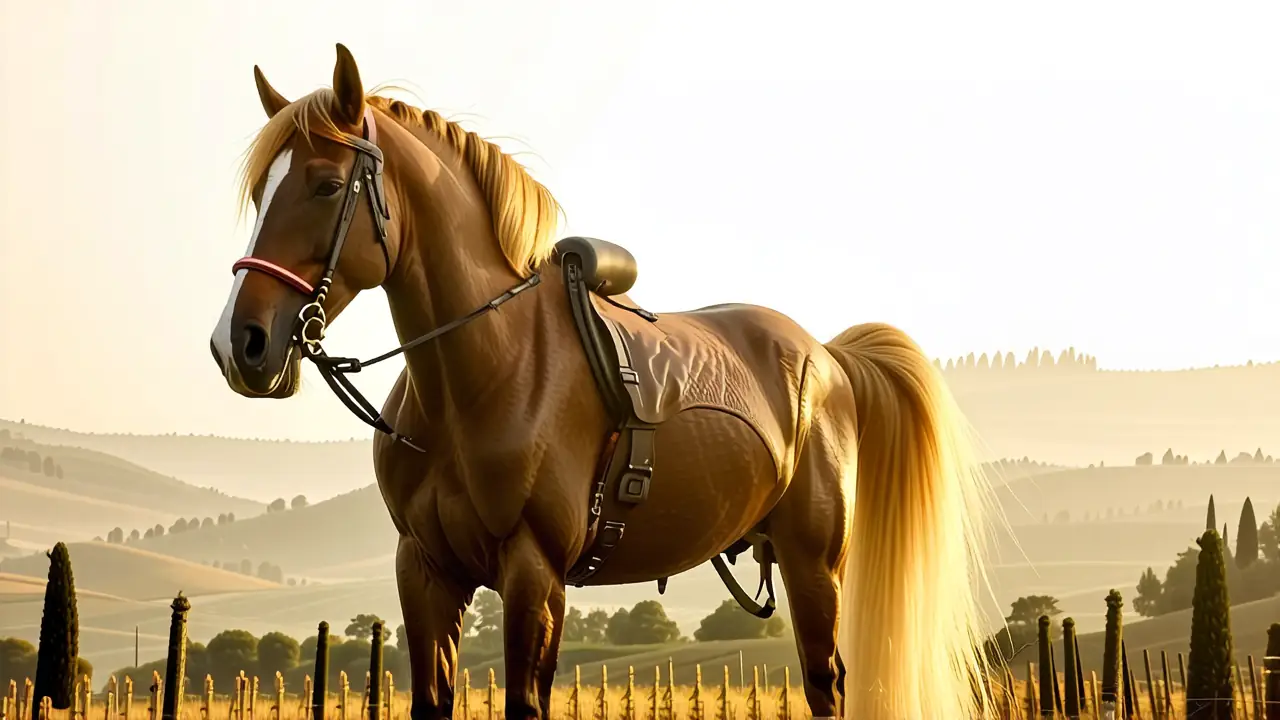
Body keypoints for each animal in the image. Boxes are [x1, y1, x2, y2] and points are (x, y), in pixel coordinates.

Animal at [208, 44, 998, 720]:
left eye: (326, 185)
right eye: (262, 191)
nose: (240, 345)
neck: (480, 378)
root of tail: (826, 357)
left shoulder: (534, 571)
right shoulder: (426, 573)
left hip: (813, 564)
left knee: (824, 683)